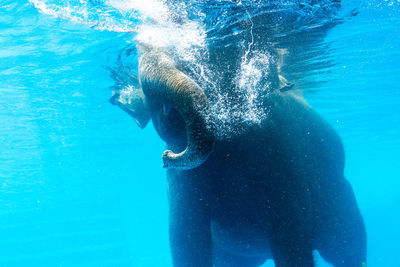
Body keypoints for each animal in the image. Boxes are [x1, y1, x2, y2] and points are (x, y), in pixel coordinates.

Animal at [109, 45, 366, 266]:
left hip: (341, 199)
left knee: (345, 250)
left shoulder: (282, 156)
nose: (166, 156)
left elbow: (290, 233)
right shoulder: (181, 183)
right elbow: (185, 239)